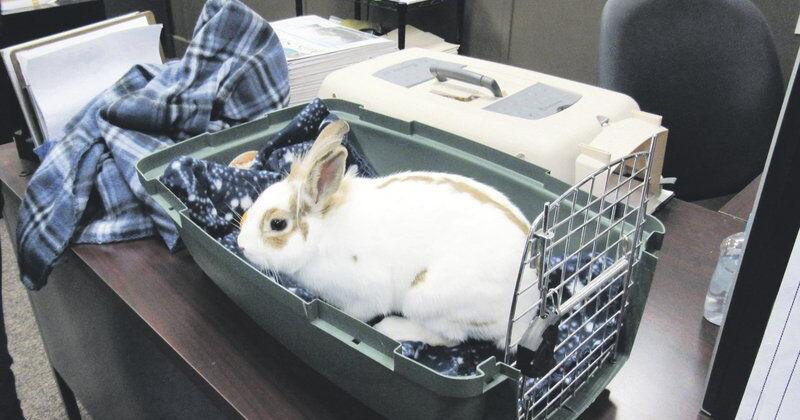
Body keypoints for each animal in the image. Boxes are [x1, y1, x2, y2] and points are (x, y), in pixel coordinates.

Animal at [237, 120, 539, 349]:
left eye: (277, 224)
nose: (241, 245)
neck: (322, 235)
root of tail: (525, 312)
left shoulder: (364, 297)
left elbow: (357, 312)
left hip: (429, 301)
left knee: (451, 338)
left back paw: (390, 329)